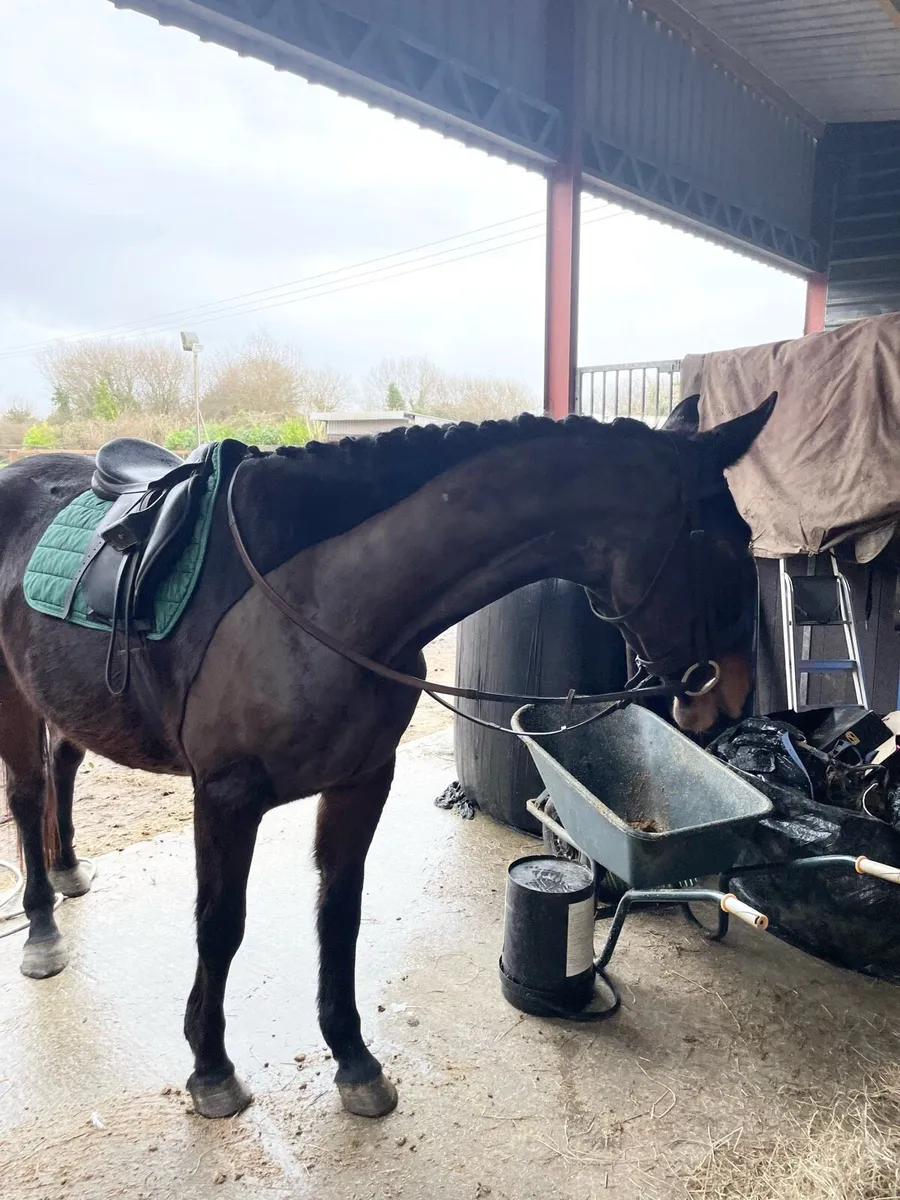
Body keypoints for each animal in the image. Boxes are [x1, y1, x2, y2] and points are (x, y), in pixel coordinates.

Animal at [0, 394, 773, 1120]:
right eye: (727, 542)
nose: (732, 697)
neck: (330, 597)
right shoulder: (226, 796)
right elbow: (221, 926)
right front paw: (212, 1068)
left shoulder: (363, 779)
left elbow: (339, 914)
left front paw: (352, 1058)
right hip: (13, 694)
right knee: (28, 794)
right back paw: (40, 927)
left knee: (63, 765)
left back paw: (68, 871)